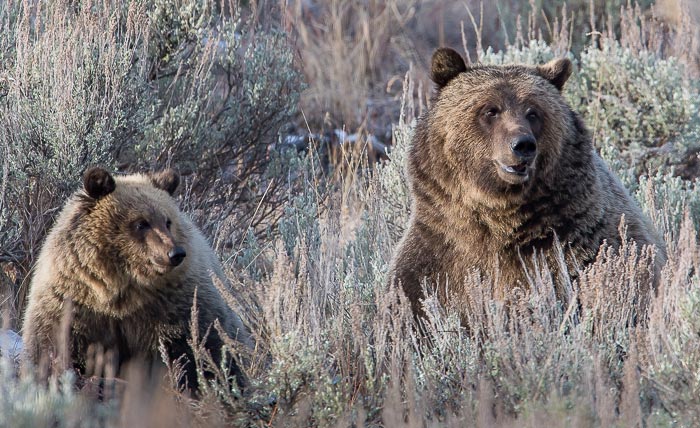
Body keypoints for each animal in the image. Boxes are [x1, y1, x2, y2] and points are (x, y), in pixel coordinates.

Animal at [21, 167, 254, 388]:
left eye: (167, 221)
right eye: (141, 223)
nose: (175, 253)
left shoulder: (176, 309)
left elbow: (198, 351)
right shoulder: (75, 305)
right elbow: (54, 346)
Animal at [392, 47, 664, 320]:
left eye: (533, 112)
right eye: (490, 110)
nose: (522, 145)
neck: (499, 218)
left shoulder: (579, 247)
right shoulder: (438, 251)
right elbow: (413, 295)